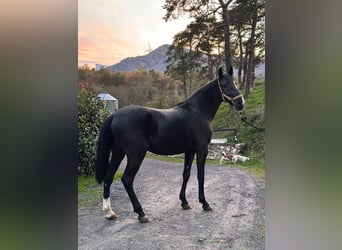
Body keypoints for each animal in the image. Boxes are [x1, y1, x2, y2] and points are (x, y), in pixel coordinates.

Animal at [95, 66, 244, 223]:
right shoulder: (202, 149)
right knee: (127, 179)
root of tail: (114, 115)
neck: (198, 111)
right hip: (136, 155)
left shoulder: (189, 150)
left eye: (235, 83)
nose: (241, 103)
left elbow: (186, 174)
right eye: (225, 84)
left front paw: (184, 202)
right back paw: (141, 213)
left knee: (108, 177)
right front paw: (204, 203)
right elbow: (201, 175)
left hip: (118, 153)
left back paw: (109, 212)